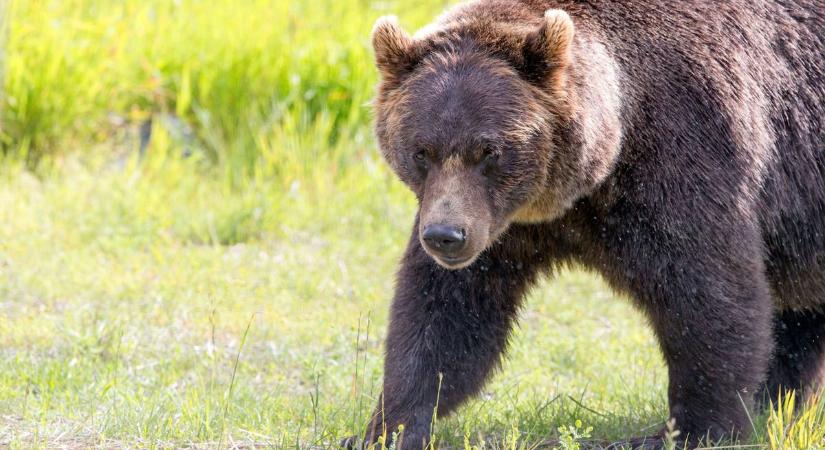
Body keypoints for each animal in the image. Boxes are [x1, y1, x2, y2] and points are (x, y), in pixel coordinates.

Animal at [358, 0, 825, 448]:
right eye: (422, 151)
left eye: (489, 151)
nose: (446, 237)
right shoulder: (501, 226)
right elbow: (446, 312)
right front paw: (388, 426)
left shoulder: (684, 155)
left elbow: (710, 293)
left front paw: (692, 429)